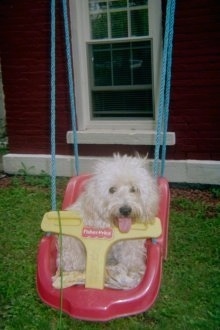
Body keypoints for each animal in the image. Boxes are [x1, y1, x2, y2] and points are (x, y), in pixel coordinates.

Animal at [53, 155, 160, 288]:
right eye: (112, 189)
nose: (125, 210)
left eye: (133, 189)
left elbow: (131, 258)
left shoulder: (131, 245)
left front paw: (134, 270)